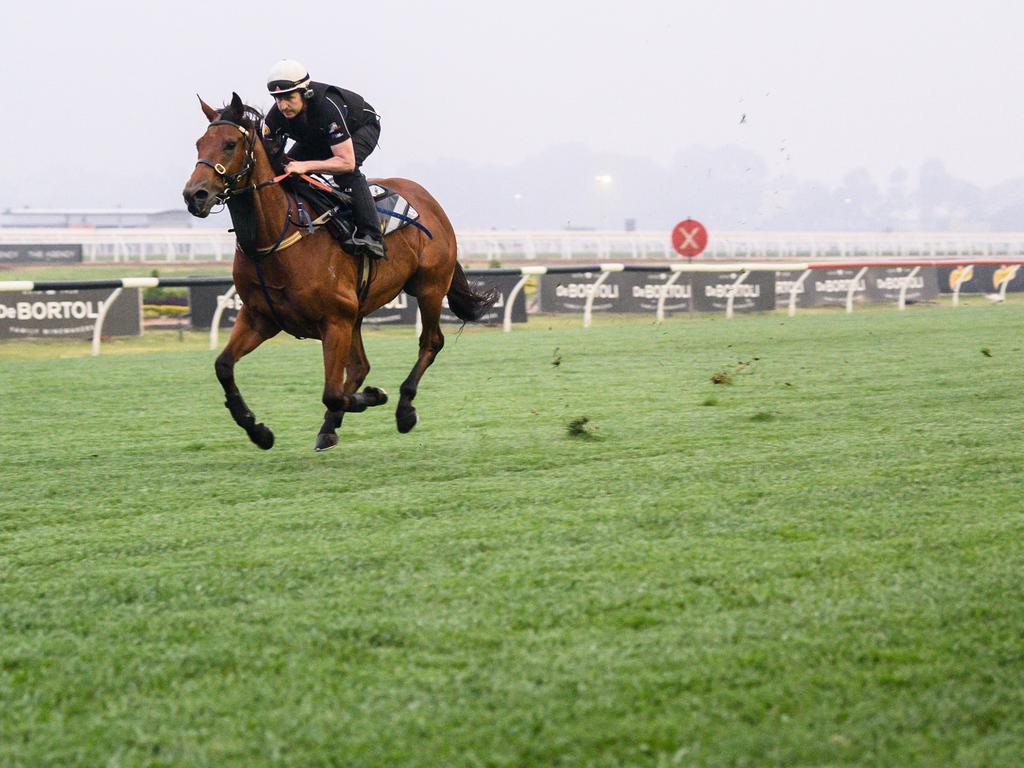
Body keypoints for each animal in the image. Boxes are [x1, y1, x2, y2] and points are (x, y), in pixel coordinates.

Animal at [184, 94, 495, 456]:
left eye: (230, 144)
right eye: (198, 143)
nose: (194, 195)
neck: (276, 238)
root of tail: (430, 201)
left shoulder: (333, 321)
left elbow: (332, 393)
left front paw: (375, 395)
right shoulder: (261, 318)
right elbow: (223, 366)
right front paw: (257, 429)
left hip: (429, 287)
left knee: (430, 342)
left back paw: (403, 409)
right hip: (357, 312)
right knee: (360, 366)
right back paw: (329, 428)